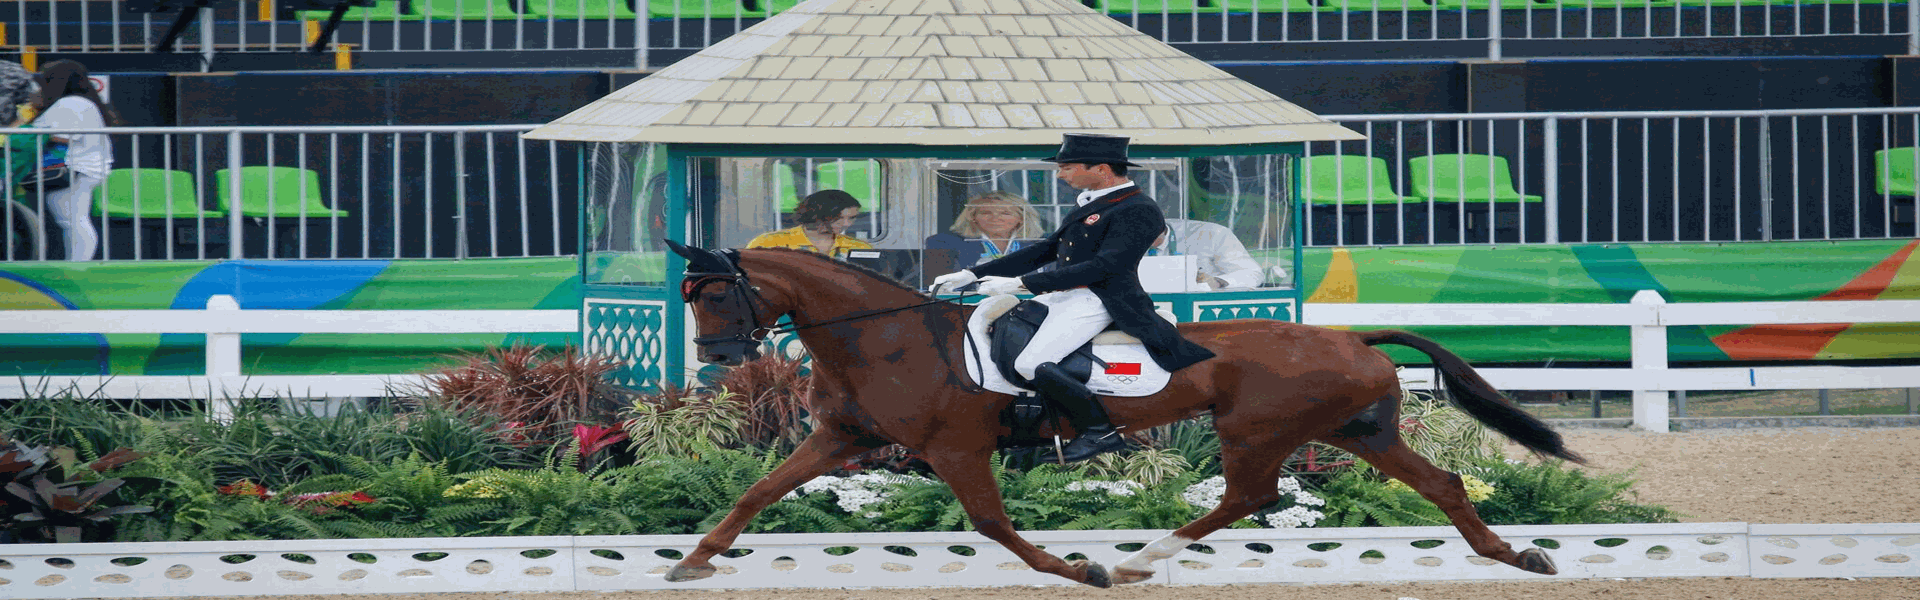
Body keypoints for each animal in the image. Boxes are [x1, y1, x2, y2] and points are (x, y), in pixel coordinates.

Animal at [660, 241, 1574, 588]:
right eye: (692, 300)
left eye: (719, 296)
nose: (719, 359)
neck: (885, 340)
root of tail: (1351, 337)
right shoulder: (839, 437)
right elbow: (756, 493)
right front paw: (693, 561)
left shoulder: (956, 449)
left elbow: (992, 524)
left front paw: (1078, 570)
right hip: (1358, 431)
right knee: (1443, 484)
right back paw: (1518, 556)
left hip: (1256, 430)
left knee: (1249, 497)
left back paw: (1137, 560)